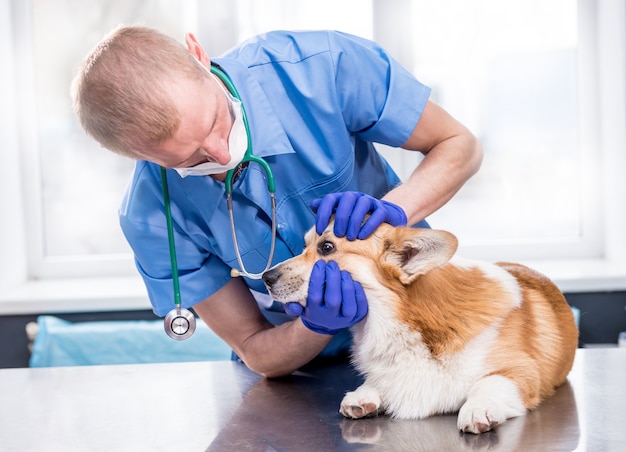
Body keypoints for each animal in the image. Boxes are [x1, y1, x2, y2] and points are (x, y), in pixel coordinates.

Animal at [260, 222, 576, 434]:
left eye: (326, 247)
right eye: (304, 246)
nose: (265, 277)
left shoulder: (522, 370)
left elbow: (489, 382)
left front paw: (478, 409)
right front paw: (365, 394)